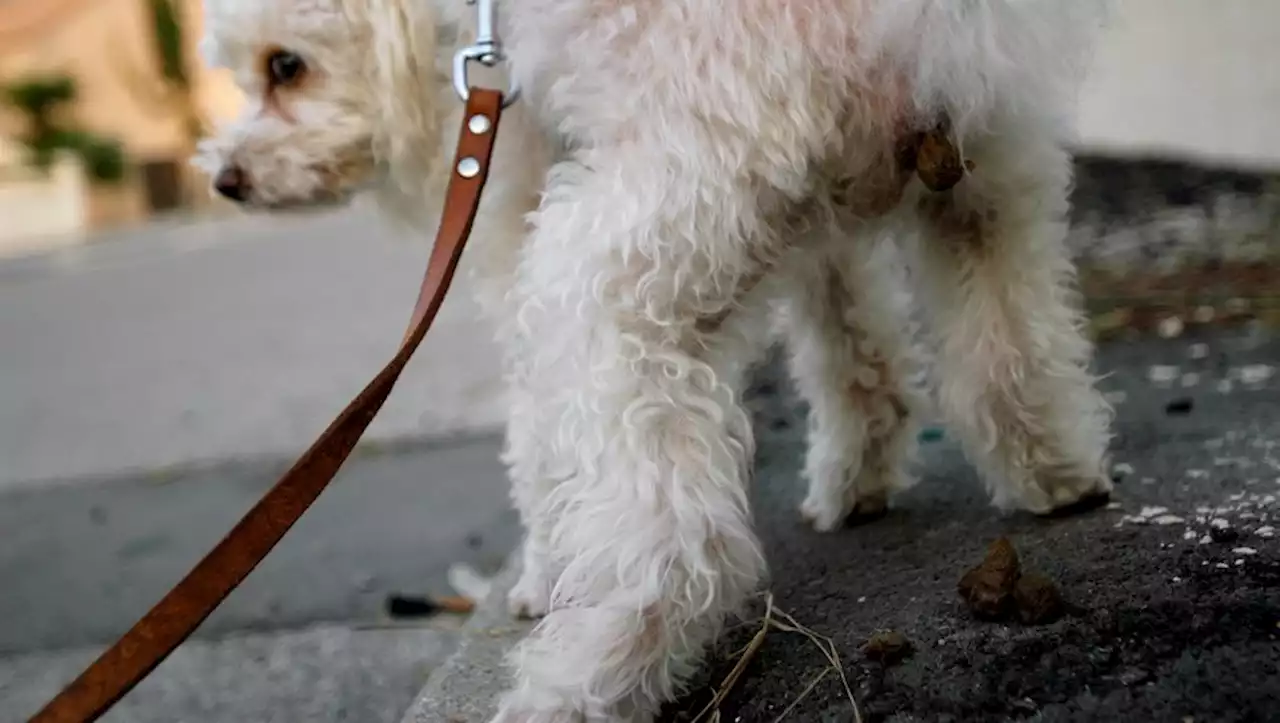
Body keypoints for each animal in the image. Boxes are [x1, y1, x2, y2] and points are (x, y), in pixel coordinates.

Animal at [194, 1, 1116, 716]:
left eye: (285, 66)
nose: (226, 179)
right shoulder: (830, 231)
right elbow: (854, 338)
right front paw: (860, 472)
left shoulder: (514, 182)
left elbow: (534, 436)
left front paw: (540, 570)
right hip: (988, 176)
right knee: (1010, 341)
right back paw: (1055, 472)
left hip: (621, 258)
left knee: (677, 546)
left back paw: (585, 678)